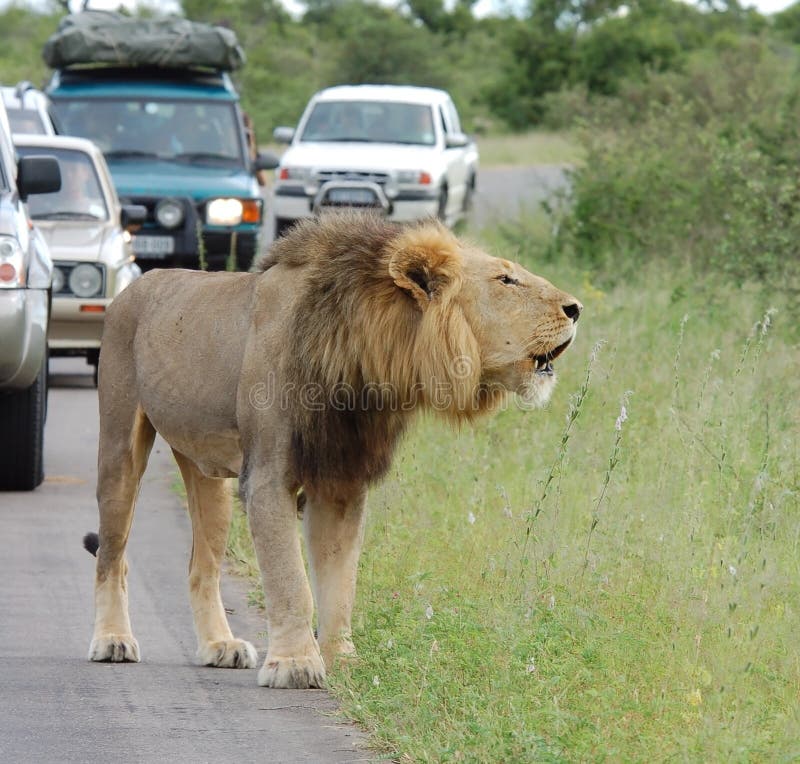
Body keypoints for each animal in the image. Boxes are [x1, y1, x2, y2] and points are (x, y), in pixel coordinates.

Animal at [84, 210, 580, 692]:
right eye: (506, 280)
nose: (576, 309)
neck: (366, 361)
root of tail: (138, 283)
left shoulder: (342, 480)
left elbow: (340, 582)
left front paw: (341, 659)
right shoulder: (268, 478)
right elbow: (292, 581)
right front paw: (295, 664)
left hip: (208, 475)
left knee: (200, 566)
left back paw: (219, 646)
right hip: (120, 443)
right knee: (113, 556)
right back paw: (112, 640)